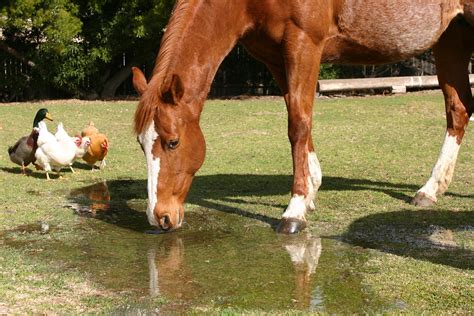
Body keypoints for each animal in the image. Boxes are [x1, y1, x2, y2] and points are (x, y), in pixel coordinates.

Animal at [132, 0, 474, 232]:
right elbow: (299, 118)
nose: (159, 217)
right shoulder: (276, 57)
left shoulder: (303, 44)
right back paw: (430, 190)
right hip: (451, 38)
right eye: (141, 144)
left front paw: (294, 210)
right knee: (458, 111)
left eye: (173, 142)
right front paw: (310, 188)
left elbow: (297, 124)